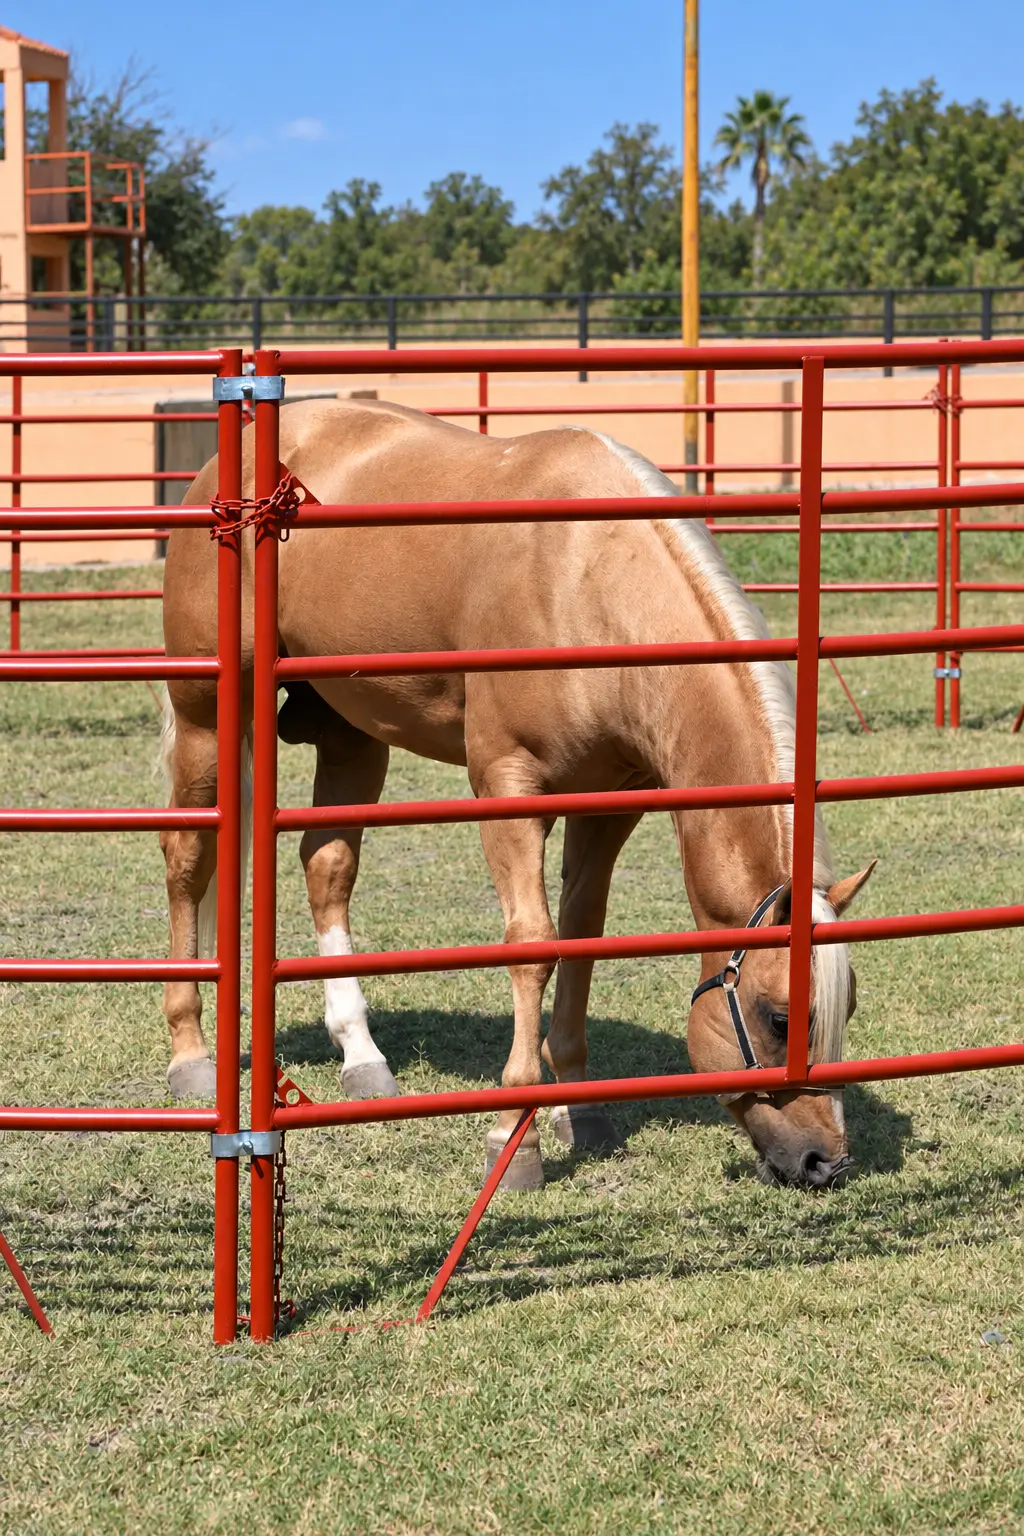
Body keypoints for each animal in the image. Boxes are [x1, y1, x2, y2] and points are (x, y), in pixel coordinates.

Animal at [159, 397, 874, 1191]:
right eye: (778, 1018)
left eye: (844, 1012)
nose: (826, 1161)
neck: (586, 577)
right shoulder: (507, 785)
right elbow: (531, 945)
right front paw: (514, 1138)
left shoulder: (611, 801)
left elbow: (581, 938)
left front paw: (579, 1112)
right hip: (208, 717)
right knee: (188, 856)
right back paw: (191, 1054)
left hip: (351, 731)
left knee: (326, 866)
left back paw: (362, 1055)